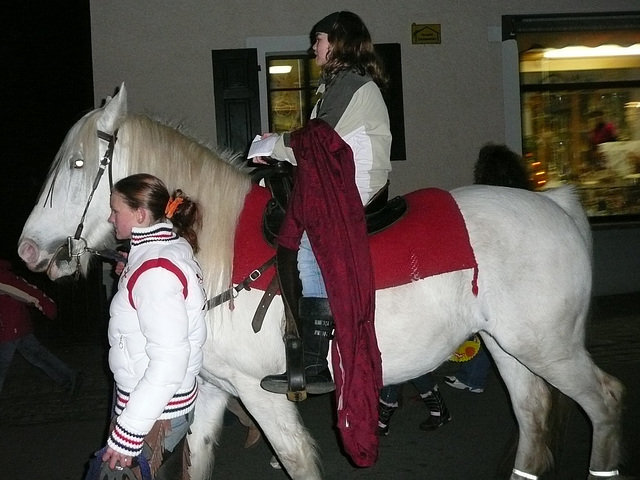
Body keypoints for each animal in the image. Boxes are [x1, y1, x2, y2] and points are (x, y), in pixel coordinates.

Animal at [17, 86, 624, 480]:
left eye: (77, 164)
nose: (26, 251)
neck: (209, 248)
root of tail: (557, 205)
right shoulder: (212, 388)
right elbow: (197, 460)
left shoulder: (259, 394)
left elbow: (298, 462)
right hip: (511, 347)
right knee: (534, 416)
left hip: (548, 348)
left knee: (606, 401)